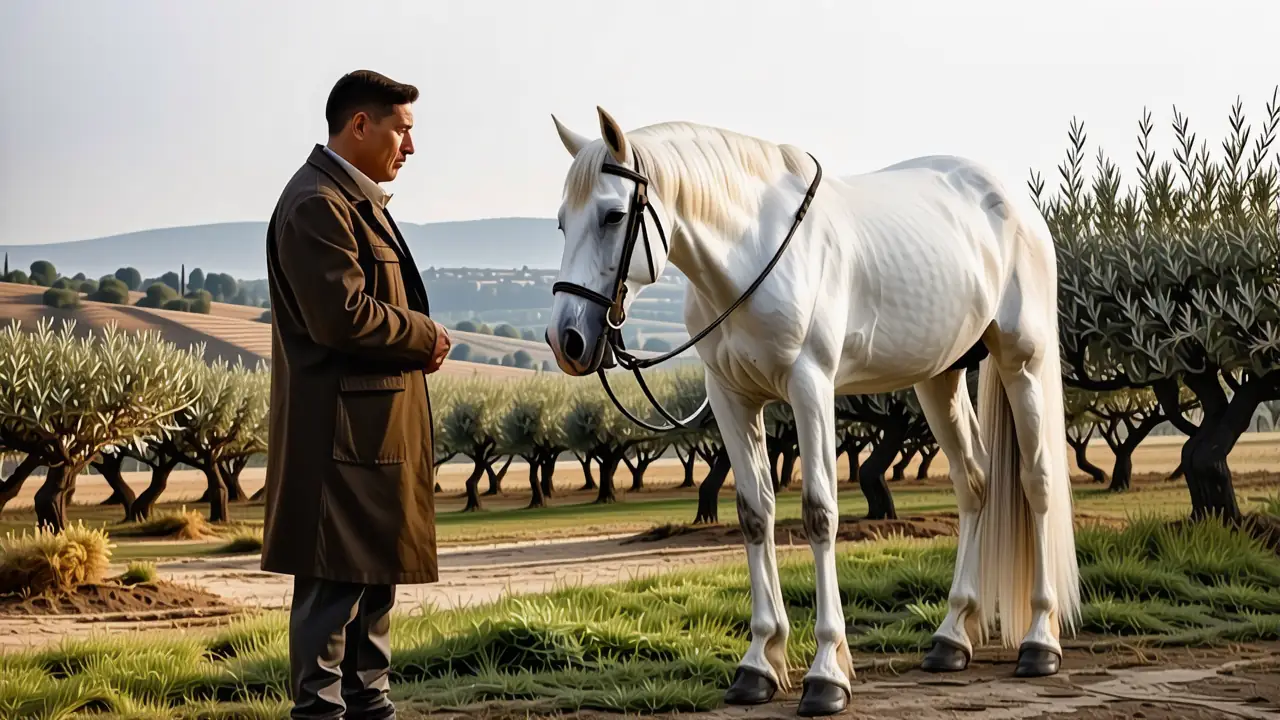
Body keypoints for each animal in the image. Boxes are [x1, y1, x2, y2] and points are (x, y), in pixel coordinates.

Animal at [543, 107, 1080, 717]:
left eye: (613, 215)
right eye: (562, 221)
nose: (567, 340)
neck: (752, 253)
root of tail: (1015, 204)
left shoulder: (810, 387)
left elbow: (820, 514)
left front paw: (826, 673)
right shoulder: (731, 399)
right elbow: (755, 514)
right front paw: (759, 663)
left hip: (1023, 362)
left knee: (1037, 483)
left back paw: (1040, 641)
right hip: (938, 378)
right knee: (975, 483)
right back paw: (951, 638)